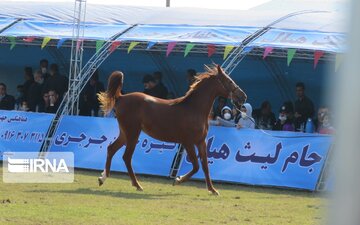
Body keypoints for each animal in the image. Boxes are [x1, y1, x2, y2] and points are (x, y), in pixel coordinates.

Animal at [97, 65, 246, 195]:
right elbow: (196, 166)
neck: (194, 109)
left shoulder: (201, 142)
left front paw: (213, 190)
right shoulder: (187, 142)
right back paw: (137, 185)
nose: (243, 96)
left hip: (125, 133)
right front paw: (178, 180)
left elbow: (205, 166)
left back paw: (102, 178)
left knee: (111, 149)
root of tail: (121, 97)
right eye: (229, 80)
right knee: (126, 157)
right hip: (132, 133)